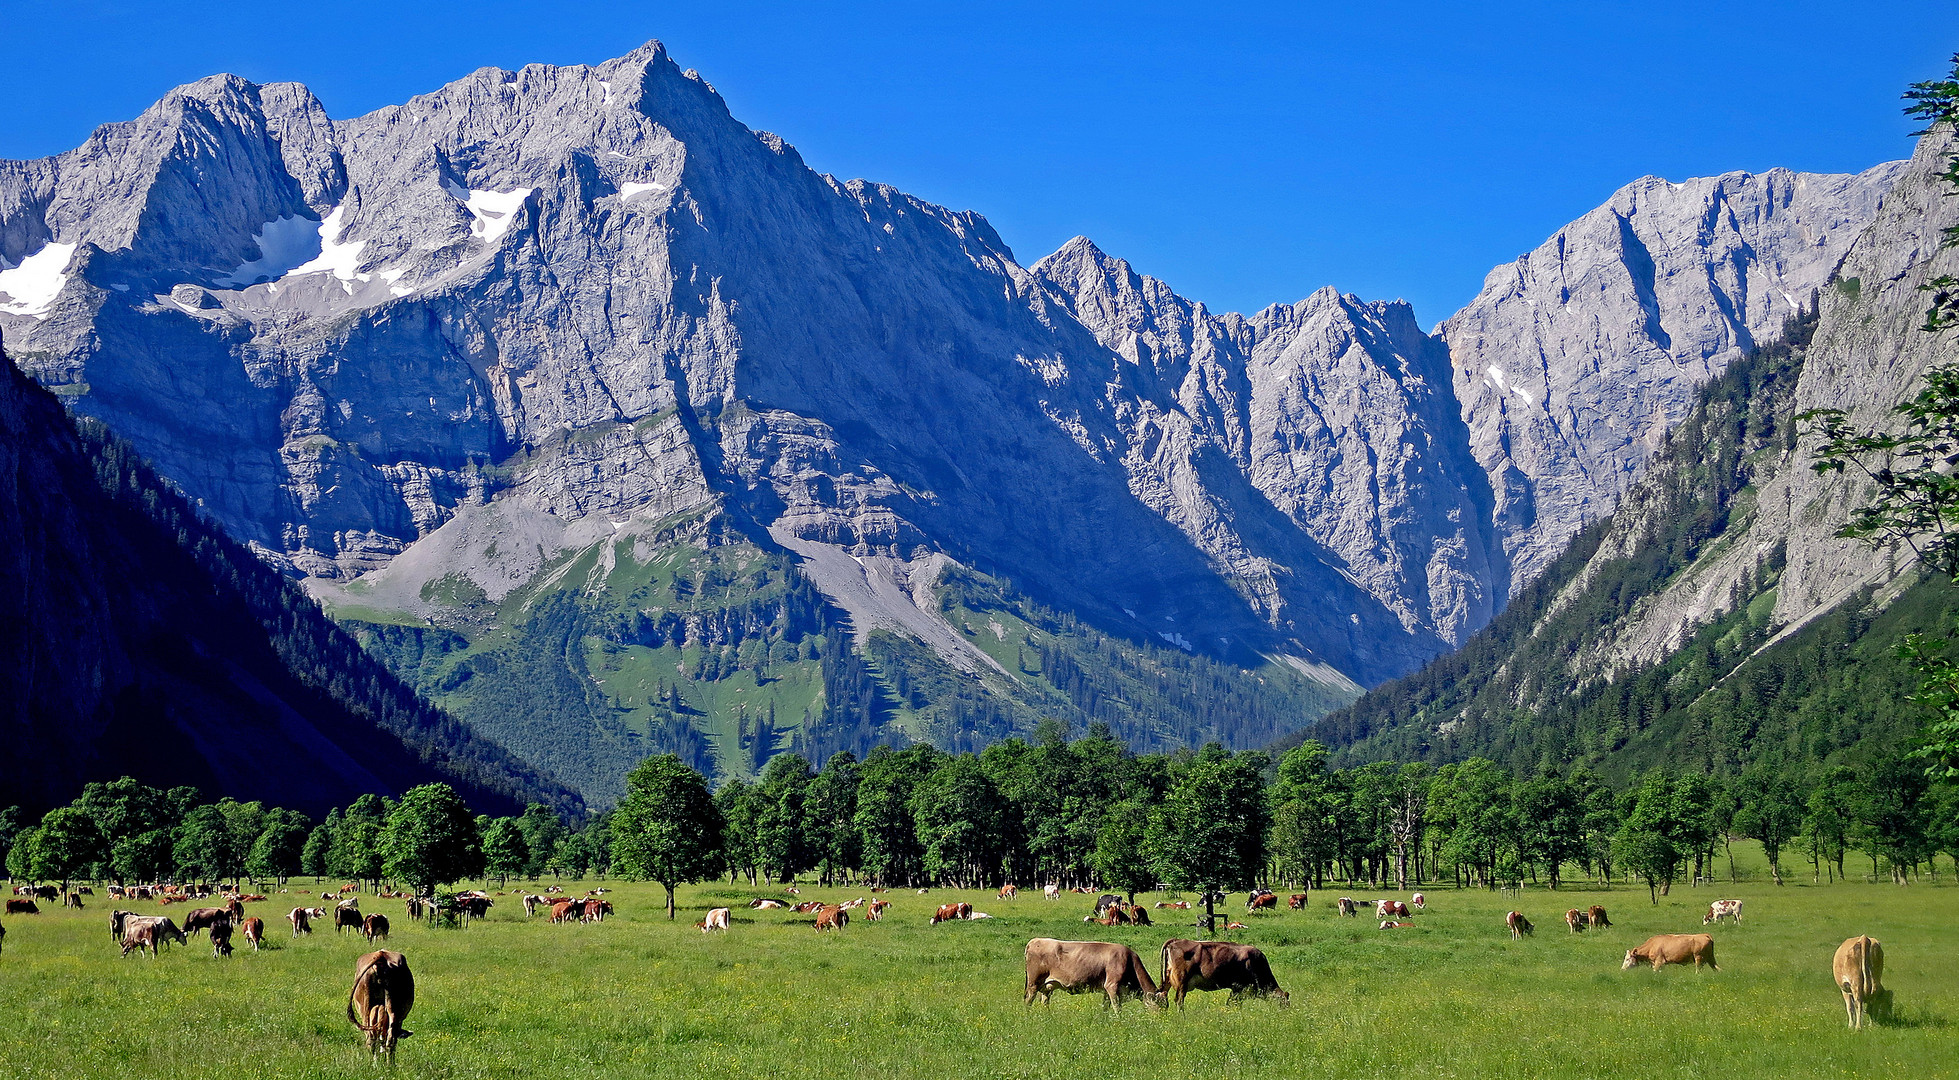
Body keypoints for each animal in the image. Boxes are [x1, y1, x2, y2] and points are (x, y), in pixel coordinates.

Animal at [1026, 936, 1159, 1011]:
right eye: (1161, 1004)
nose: (1160, 1019)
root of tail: (1034, 941)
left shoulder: (1106, 990)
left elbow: (1105, 1008)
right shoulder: (1112, 986)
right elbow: (1117, 1008)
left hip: (1048, 986)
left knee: (1045, 1001)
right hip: (1033, 983)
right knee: (1028, 1000)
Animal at [1151, 940, 1292, 1011]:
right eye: (1284, 1004)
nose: (1286, 1013)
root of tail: (1175, 941)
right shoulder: (1239, 989)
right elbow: (1233, 1004)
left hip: (1168, 979)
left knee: (1162, 996)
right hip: (1181, 983)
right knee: (1179, 1001)